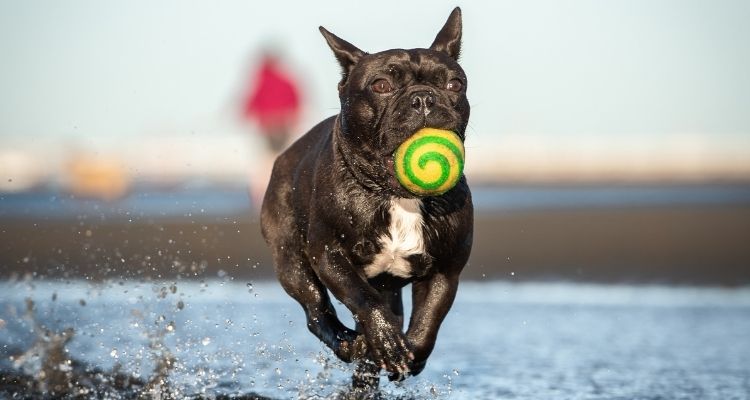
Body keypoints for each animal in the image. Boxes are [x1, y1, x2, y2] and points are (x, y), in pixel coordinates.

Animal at [264, 6, 472, 388]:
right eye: (381, 86)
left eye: (454, 85)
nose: (423, 97)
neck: (397, 196)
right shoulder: (329, 255)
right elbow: (362, 298)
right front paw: (386, 340)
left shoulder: (445, 272)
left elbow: (428, 321)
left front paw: (409, 353)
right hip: (291, 260)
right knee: (316, 308)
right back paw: (351, 343)